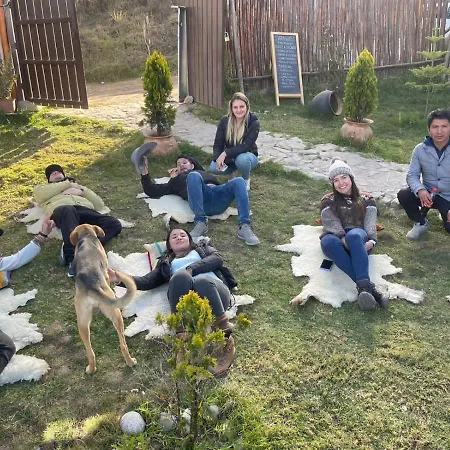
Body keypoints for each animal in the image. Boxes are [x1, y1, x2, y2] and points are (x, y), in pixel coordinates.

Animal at [70, 224, 137, 374]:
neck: (87, 237)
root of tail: (91, 285)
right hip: (116, 315)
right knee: (123, 344)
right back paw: (131, 362)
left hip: (82, 324)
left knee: (90, 352)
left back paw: (91, 369)